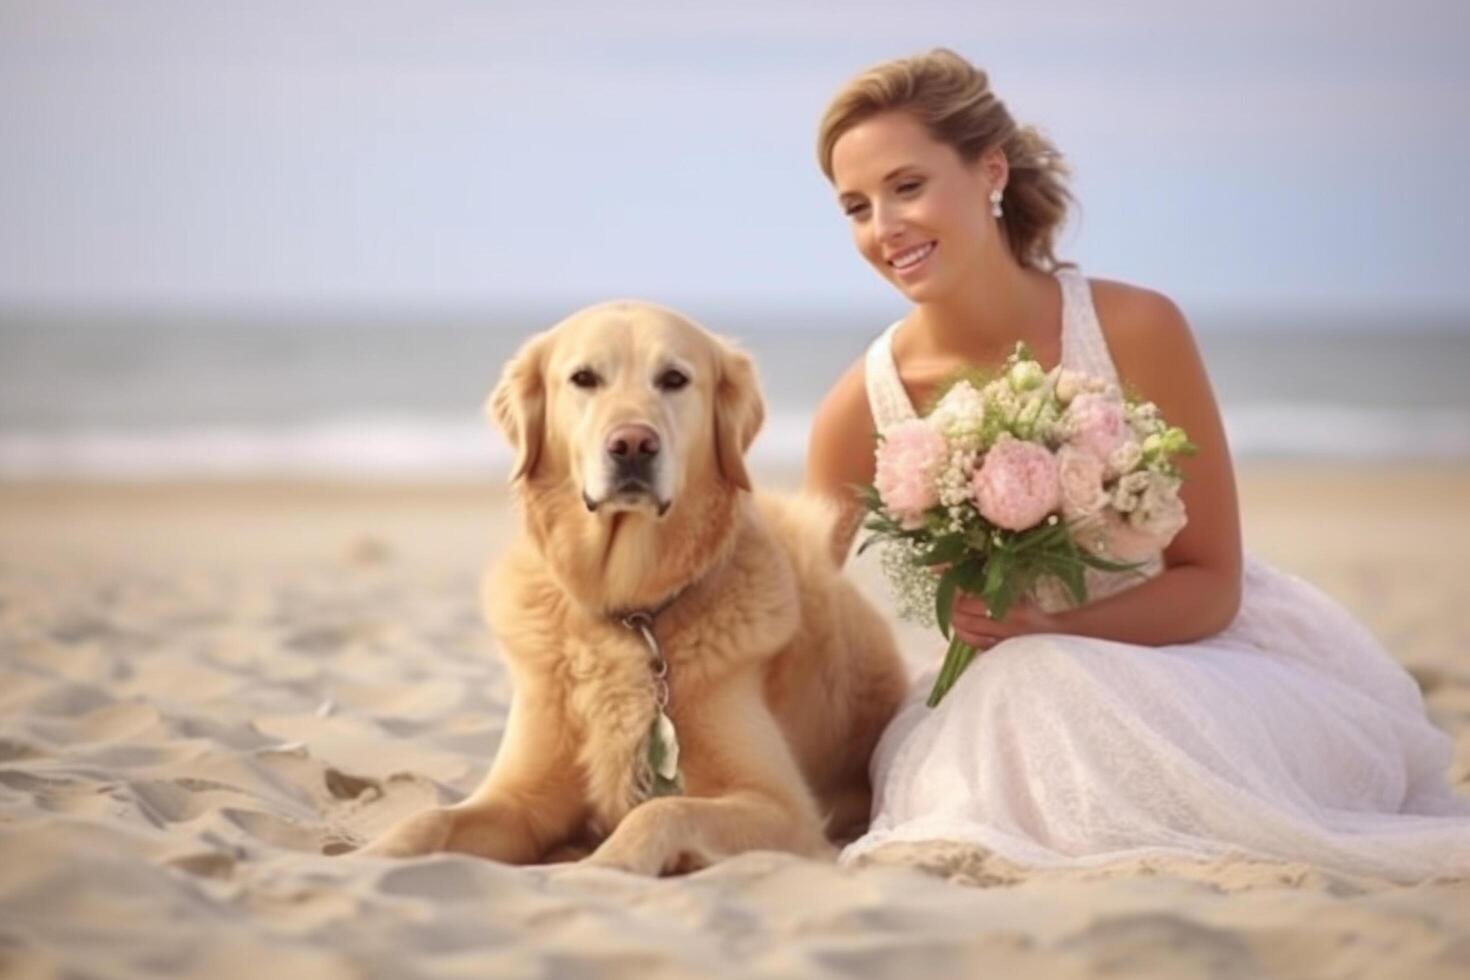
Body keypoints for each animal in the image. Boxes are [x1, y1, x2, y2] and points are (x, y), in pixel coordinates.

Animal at [358, 299, 905, 875]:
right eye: (584, 378)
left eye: (674, 379)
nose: (633, 445)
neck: (629, 609)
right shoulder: (518, 799)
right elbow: (429, 819)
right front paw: (368, 855)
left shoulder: (784, 808)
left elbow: (659, 812)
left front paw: (601, 868)